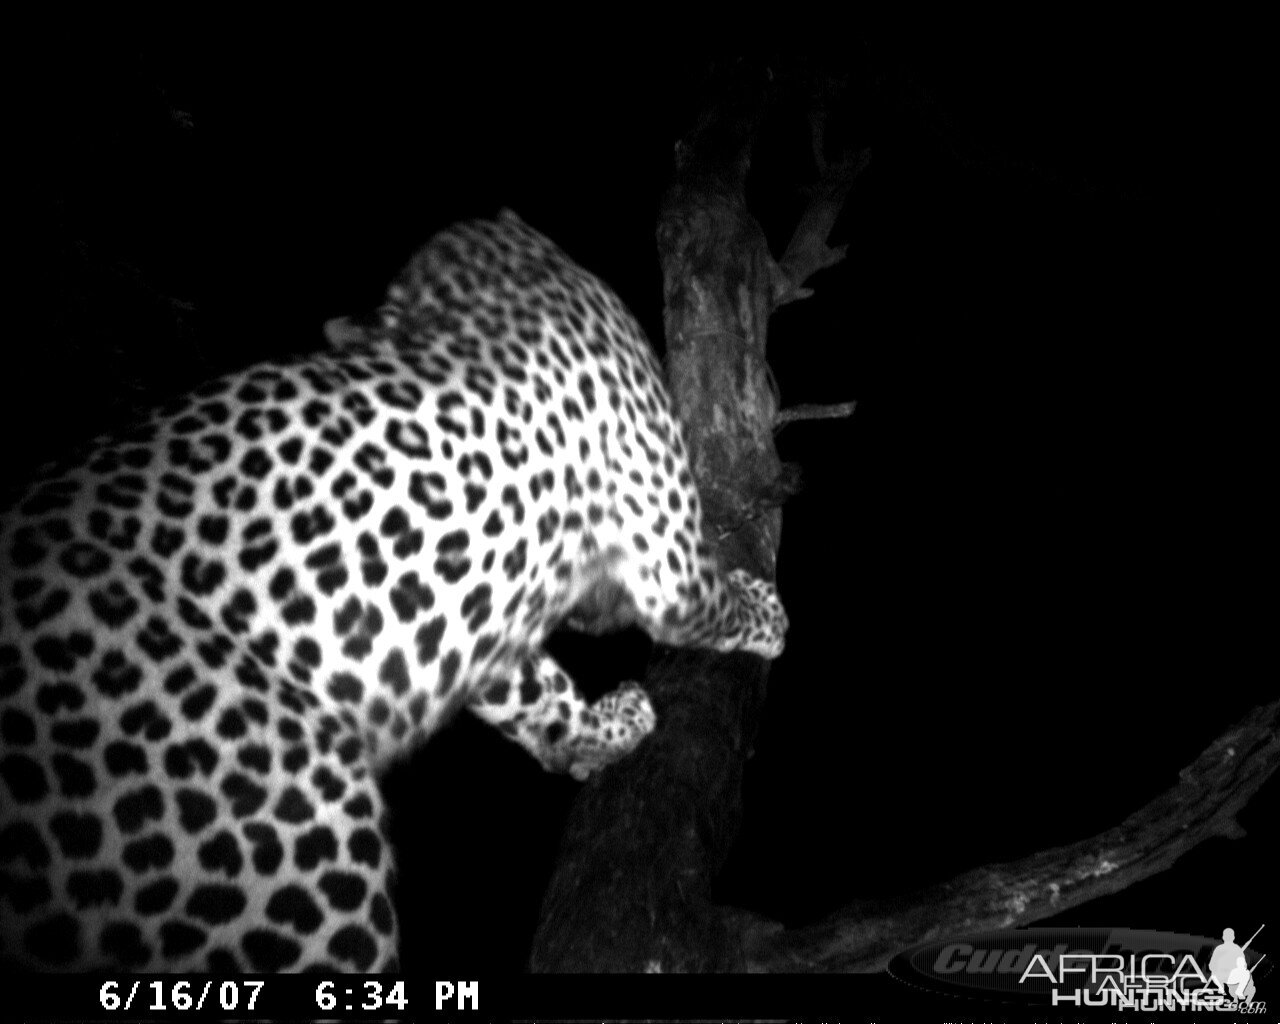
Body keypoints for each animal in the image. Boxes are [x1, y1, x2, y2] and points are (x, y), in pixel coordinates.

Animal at [0, 207, 783, 967]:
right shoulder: (666, 551)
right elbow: (703, 601)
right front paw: (768, 616)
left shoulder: (478, 624)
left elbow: (537, 696)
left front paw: (601, 731)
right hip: (301, 846)